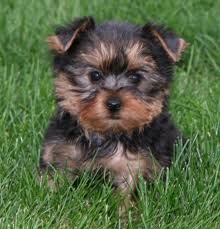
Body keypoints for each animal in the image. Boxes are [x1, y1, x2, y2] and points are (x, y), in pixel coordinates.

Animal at [39, 16, 187, 197]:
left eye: (135, 77)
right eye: (95, 75)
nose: (114, 103)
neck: (108, 134)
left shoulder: (134, 165)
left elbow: (126, 193)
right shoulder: (59, 152)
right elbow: (54, 179)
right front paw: (49, 196)